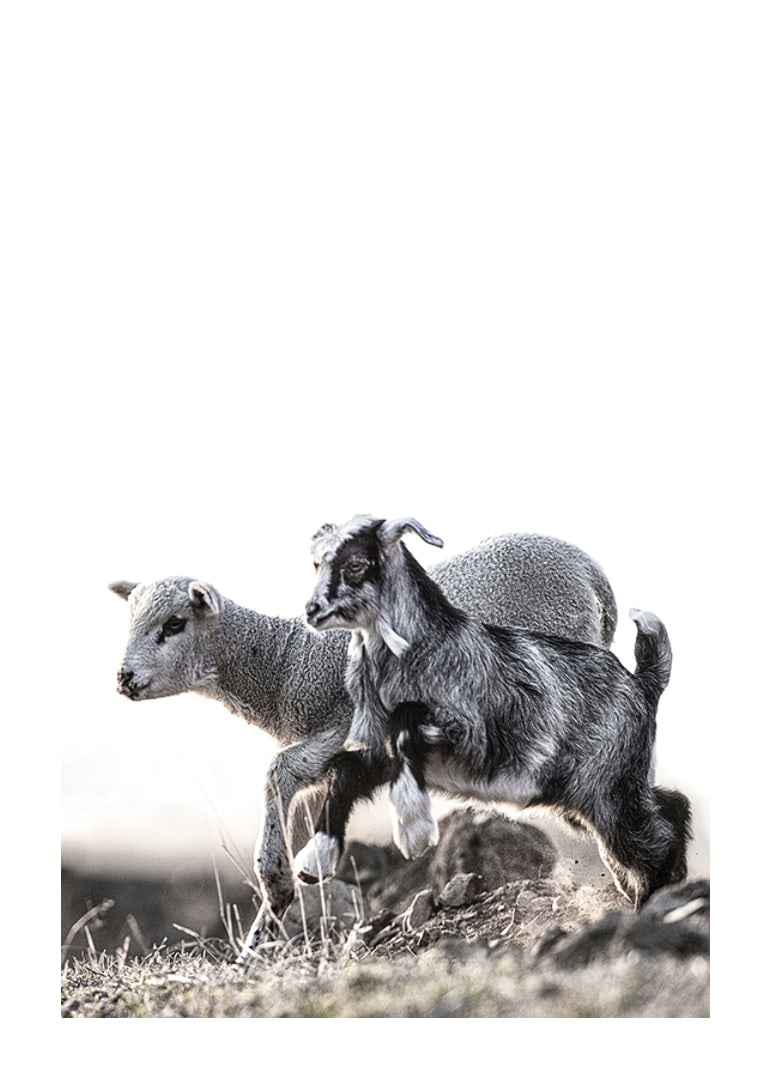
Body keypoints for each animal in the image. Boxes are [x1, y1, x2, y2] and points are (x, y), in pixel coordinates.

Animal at [109, 530, 617, 954]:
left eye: (174, 624)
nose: (124, 678)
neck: (284, 663)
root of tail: (585, 564)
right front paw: (262, 934)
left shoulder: (339, 728)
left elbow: (279, 775)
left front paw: (274, 898)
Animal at [297, 515, 691, 909]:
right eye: (317, 563)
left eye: (355, 564)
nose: (312, 612)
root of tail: (643, 683)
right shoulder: (376, 751)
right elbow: (346, 770)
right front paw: (315, 861)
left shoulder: (469, 736)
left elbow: (405, 725)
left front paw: (414, 830)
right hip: (595, 791)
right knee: (668, 806)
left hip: (607, 789)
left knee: (649, 837)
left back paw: (652, 901)